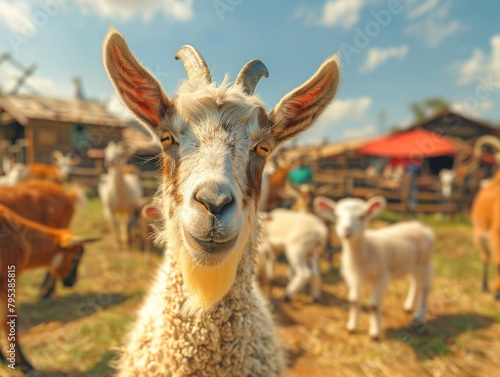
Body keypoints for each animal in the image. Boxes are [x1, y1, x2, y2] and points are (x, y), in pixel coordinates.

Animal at [312, 195, 434, 340]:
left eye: (361, 216)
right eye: (337, 215)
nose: (346, 231)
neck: (366, 250)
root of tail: (422, 227)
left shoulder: (381, 277)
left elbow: (374, 305)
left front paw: (375, 333)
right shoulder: (354, 278)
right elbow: (353, 301)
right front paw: (351, 327)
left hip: (424, 262)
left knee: (425, 287)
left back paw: (419, 314)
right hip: (410, 264)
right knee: (415, 283)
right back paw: (409, 307)